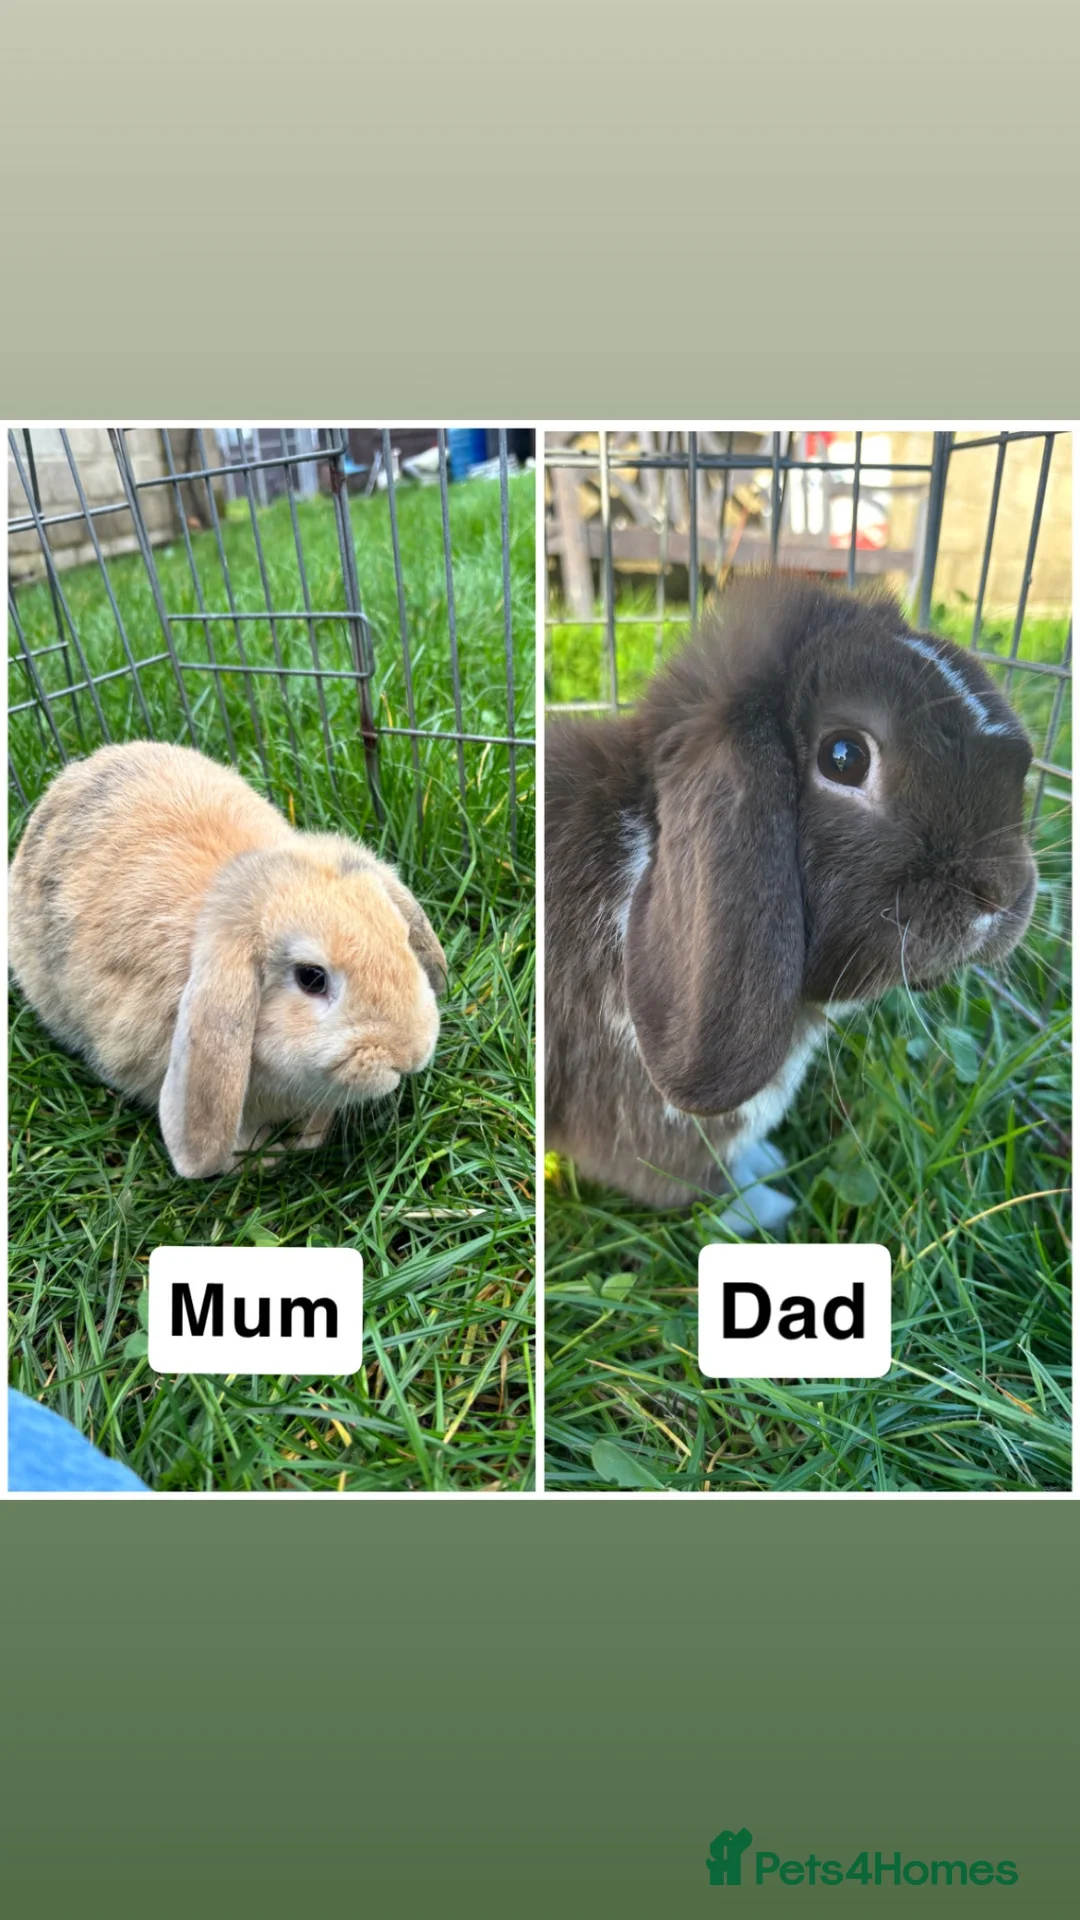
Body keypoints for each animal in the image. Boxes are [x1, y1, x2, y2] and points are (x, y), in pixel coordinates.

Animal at [9, 741, 448, 1179]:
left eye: (402, 939)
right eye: (311, 978)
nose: (410, 1055)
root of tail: (75, 772)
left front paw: (310, 1136)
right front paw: (266, 1158)